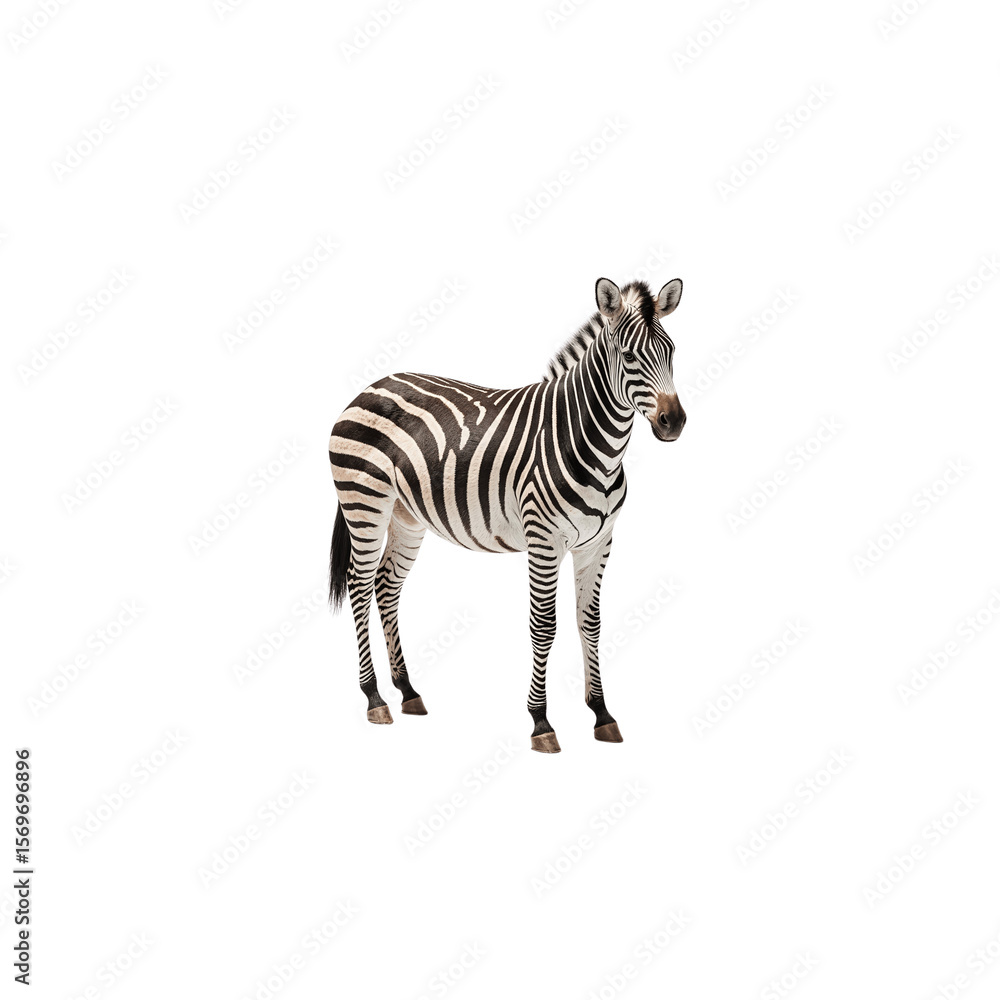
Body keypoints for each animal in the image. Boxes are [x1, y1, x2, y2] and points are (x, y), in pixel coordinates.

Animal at [328, 276, 686, 752]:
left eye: (672, 351)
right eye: (628, 356)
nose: (673, 422)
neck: (592, 445)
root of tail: (369, 386)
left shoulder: (598, 543)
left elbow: (589, 622)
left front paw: (602, 714)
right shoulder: (544, 541)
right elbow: (545, 625)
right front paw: (541, 722)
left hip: (407, 518)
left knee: (386, 586)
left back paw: (406, 691)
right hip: (365, 503)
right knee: (359, 584)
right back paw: (374, 698)